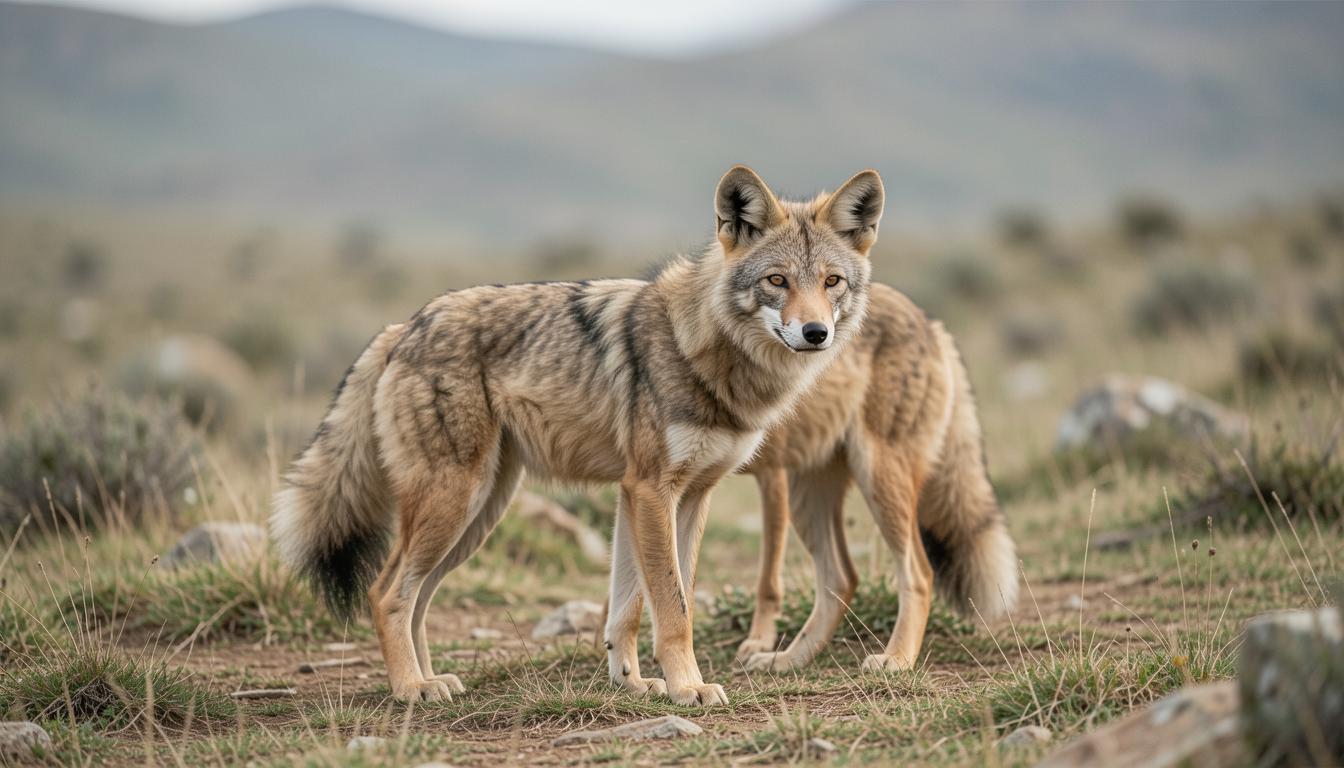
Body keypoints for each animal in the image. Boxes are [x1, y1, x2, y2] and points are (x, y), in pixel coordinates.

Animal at [272, 165, 885, 706]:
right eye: (776, 281)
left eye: (831, 282)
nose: (815, 332)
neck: (703, 351)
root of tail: (402, 327)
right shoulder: (650, 490)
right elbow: (674, 608)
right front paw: (688, 689)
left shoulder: (677, 496)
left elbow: (631, 607)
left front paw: (634, 684)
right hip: (454, 504)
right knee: (386, 593)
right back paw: (409, 689)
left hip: (478, 514)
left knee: (418, 598)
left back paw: (431, 680)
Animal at [733, 285, 1018, 674]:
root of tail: (930, 322)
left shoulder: (770, 474)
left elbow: (765, 582)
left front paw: (754, 641)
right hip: (808, 499)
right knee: (842, 579)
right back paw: (789, 661)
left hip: (877, 483)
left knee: (919, 575)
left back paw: (897, 659)